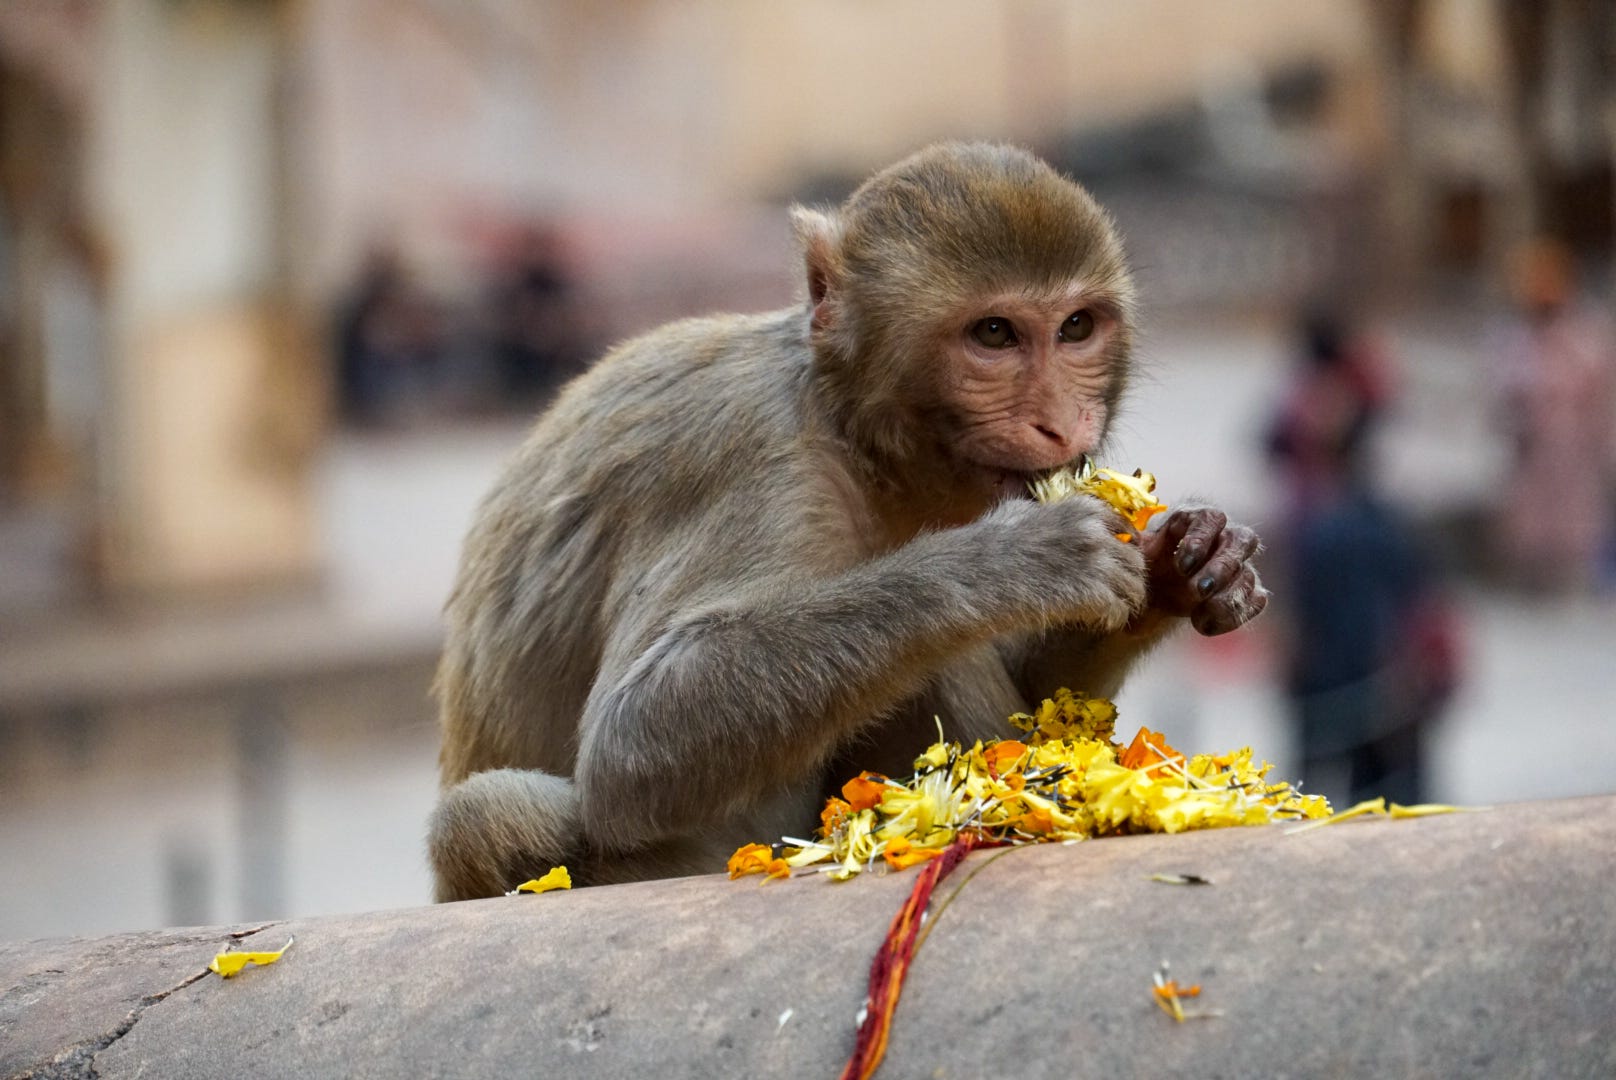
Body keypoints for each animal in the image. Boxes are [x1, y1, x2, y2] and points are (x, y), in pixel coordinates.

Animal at [433, 143, 1273, 905]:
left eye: (1075, 328)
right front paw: (1015, 563)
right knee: (487, 815)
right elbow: (629, 744)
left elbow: (1051, 707)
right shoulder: (755, 466)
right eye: (994, 335)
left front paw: (1189, 563)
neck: (850, 432)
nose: (1063, 423)